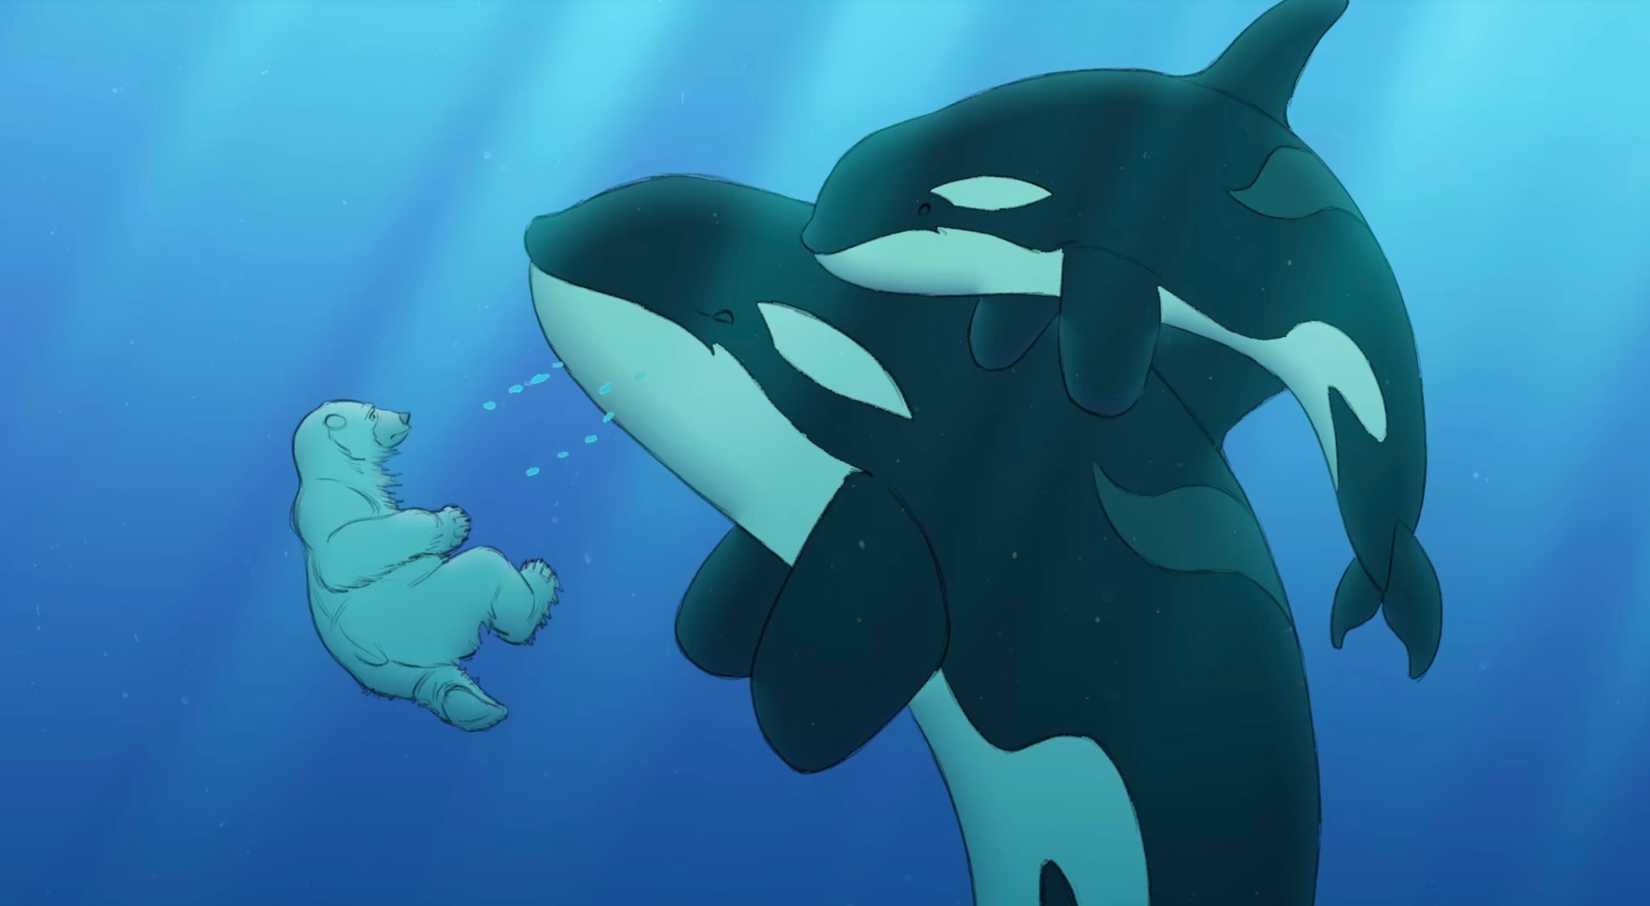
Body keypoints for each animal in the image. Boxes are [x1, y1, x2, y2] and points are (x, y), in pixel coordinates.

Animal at [290, 399, 559, 731]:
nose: (406, 415)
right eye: (372, 414)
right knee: (486, 565)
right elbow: (346, 551)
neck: (337, 470)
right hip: (426, 609)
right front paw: (454, 519)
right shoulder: (331, 503)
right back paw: (539, 581)